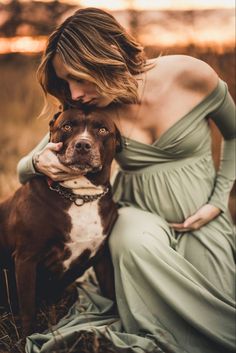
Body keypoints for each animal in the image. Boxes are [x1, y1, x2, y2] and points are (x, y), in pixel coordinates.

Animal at [0, 108, 121, 336]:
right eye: (67, 126)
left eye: (102, 130)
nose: (83, 145)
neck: (79, 195)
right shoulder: (26, 259)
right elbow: (28, 309)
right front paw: (29, 338)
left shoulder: (102, 257)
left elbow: (111, 292)